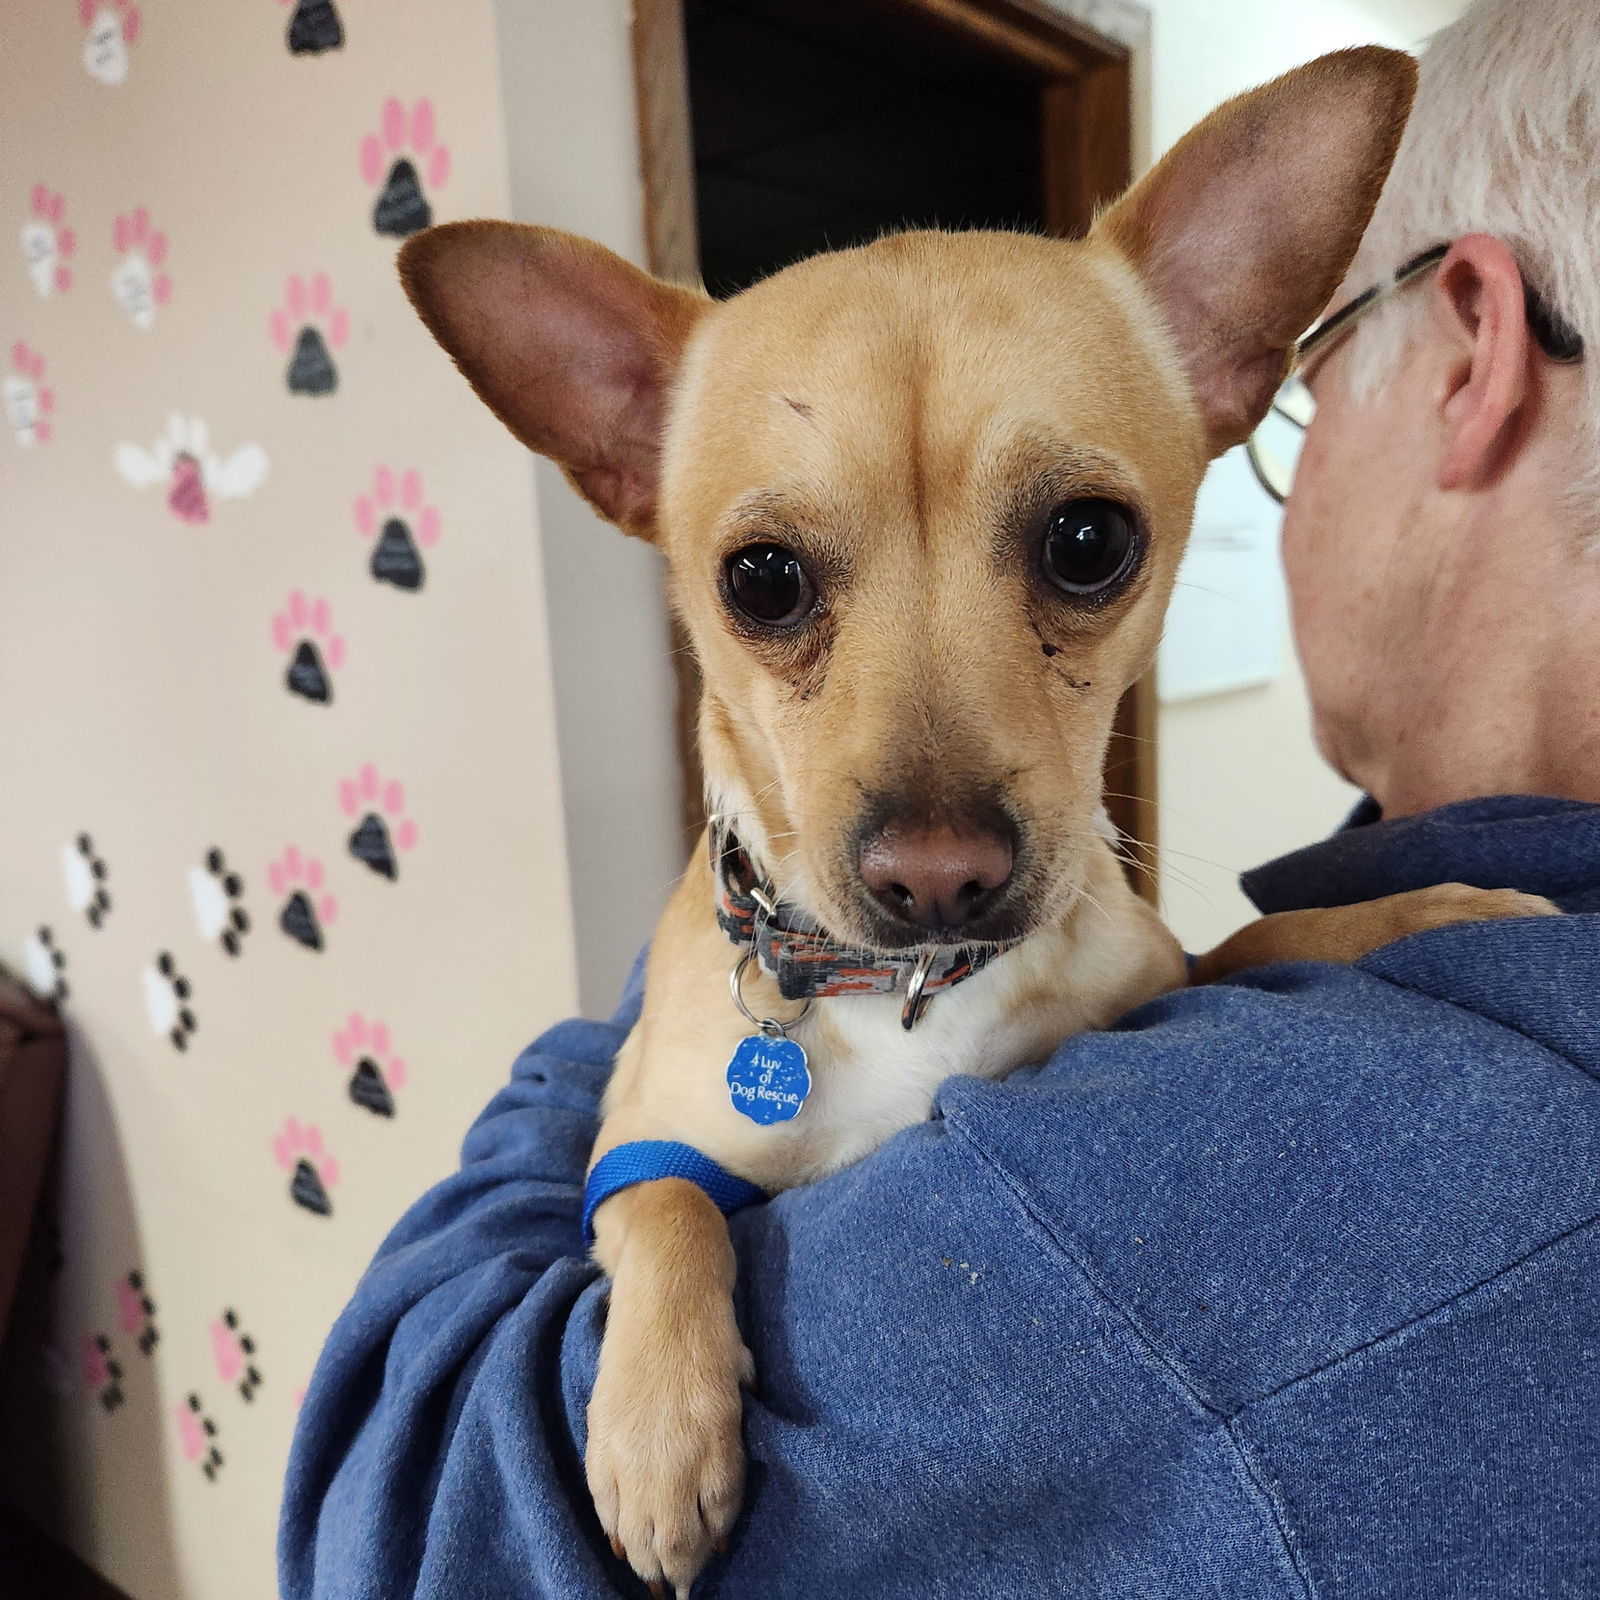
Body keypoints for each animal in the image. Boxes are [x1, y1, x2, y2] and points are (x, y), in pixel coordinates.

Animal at [396, 50, 1548, 1600]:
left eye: (1090, 543)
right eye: (759, 581)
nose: (939, 877)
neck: (905, 999)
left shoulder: (1161, 982)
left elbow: (1264, 938)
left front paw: (1426, 906)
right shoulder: (636, 1140)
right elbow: (663, 1206)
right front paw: (653, 1430)